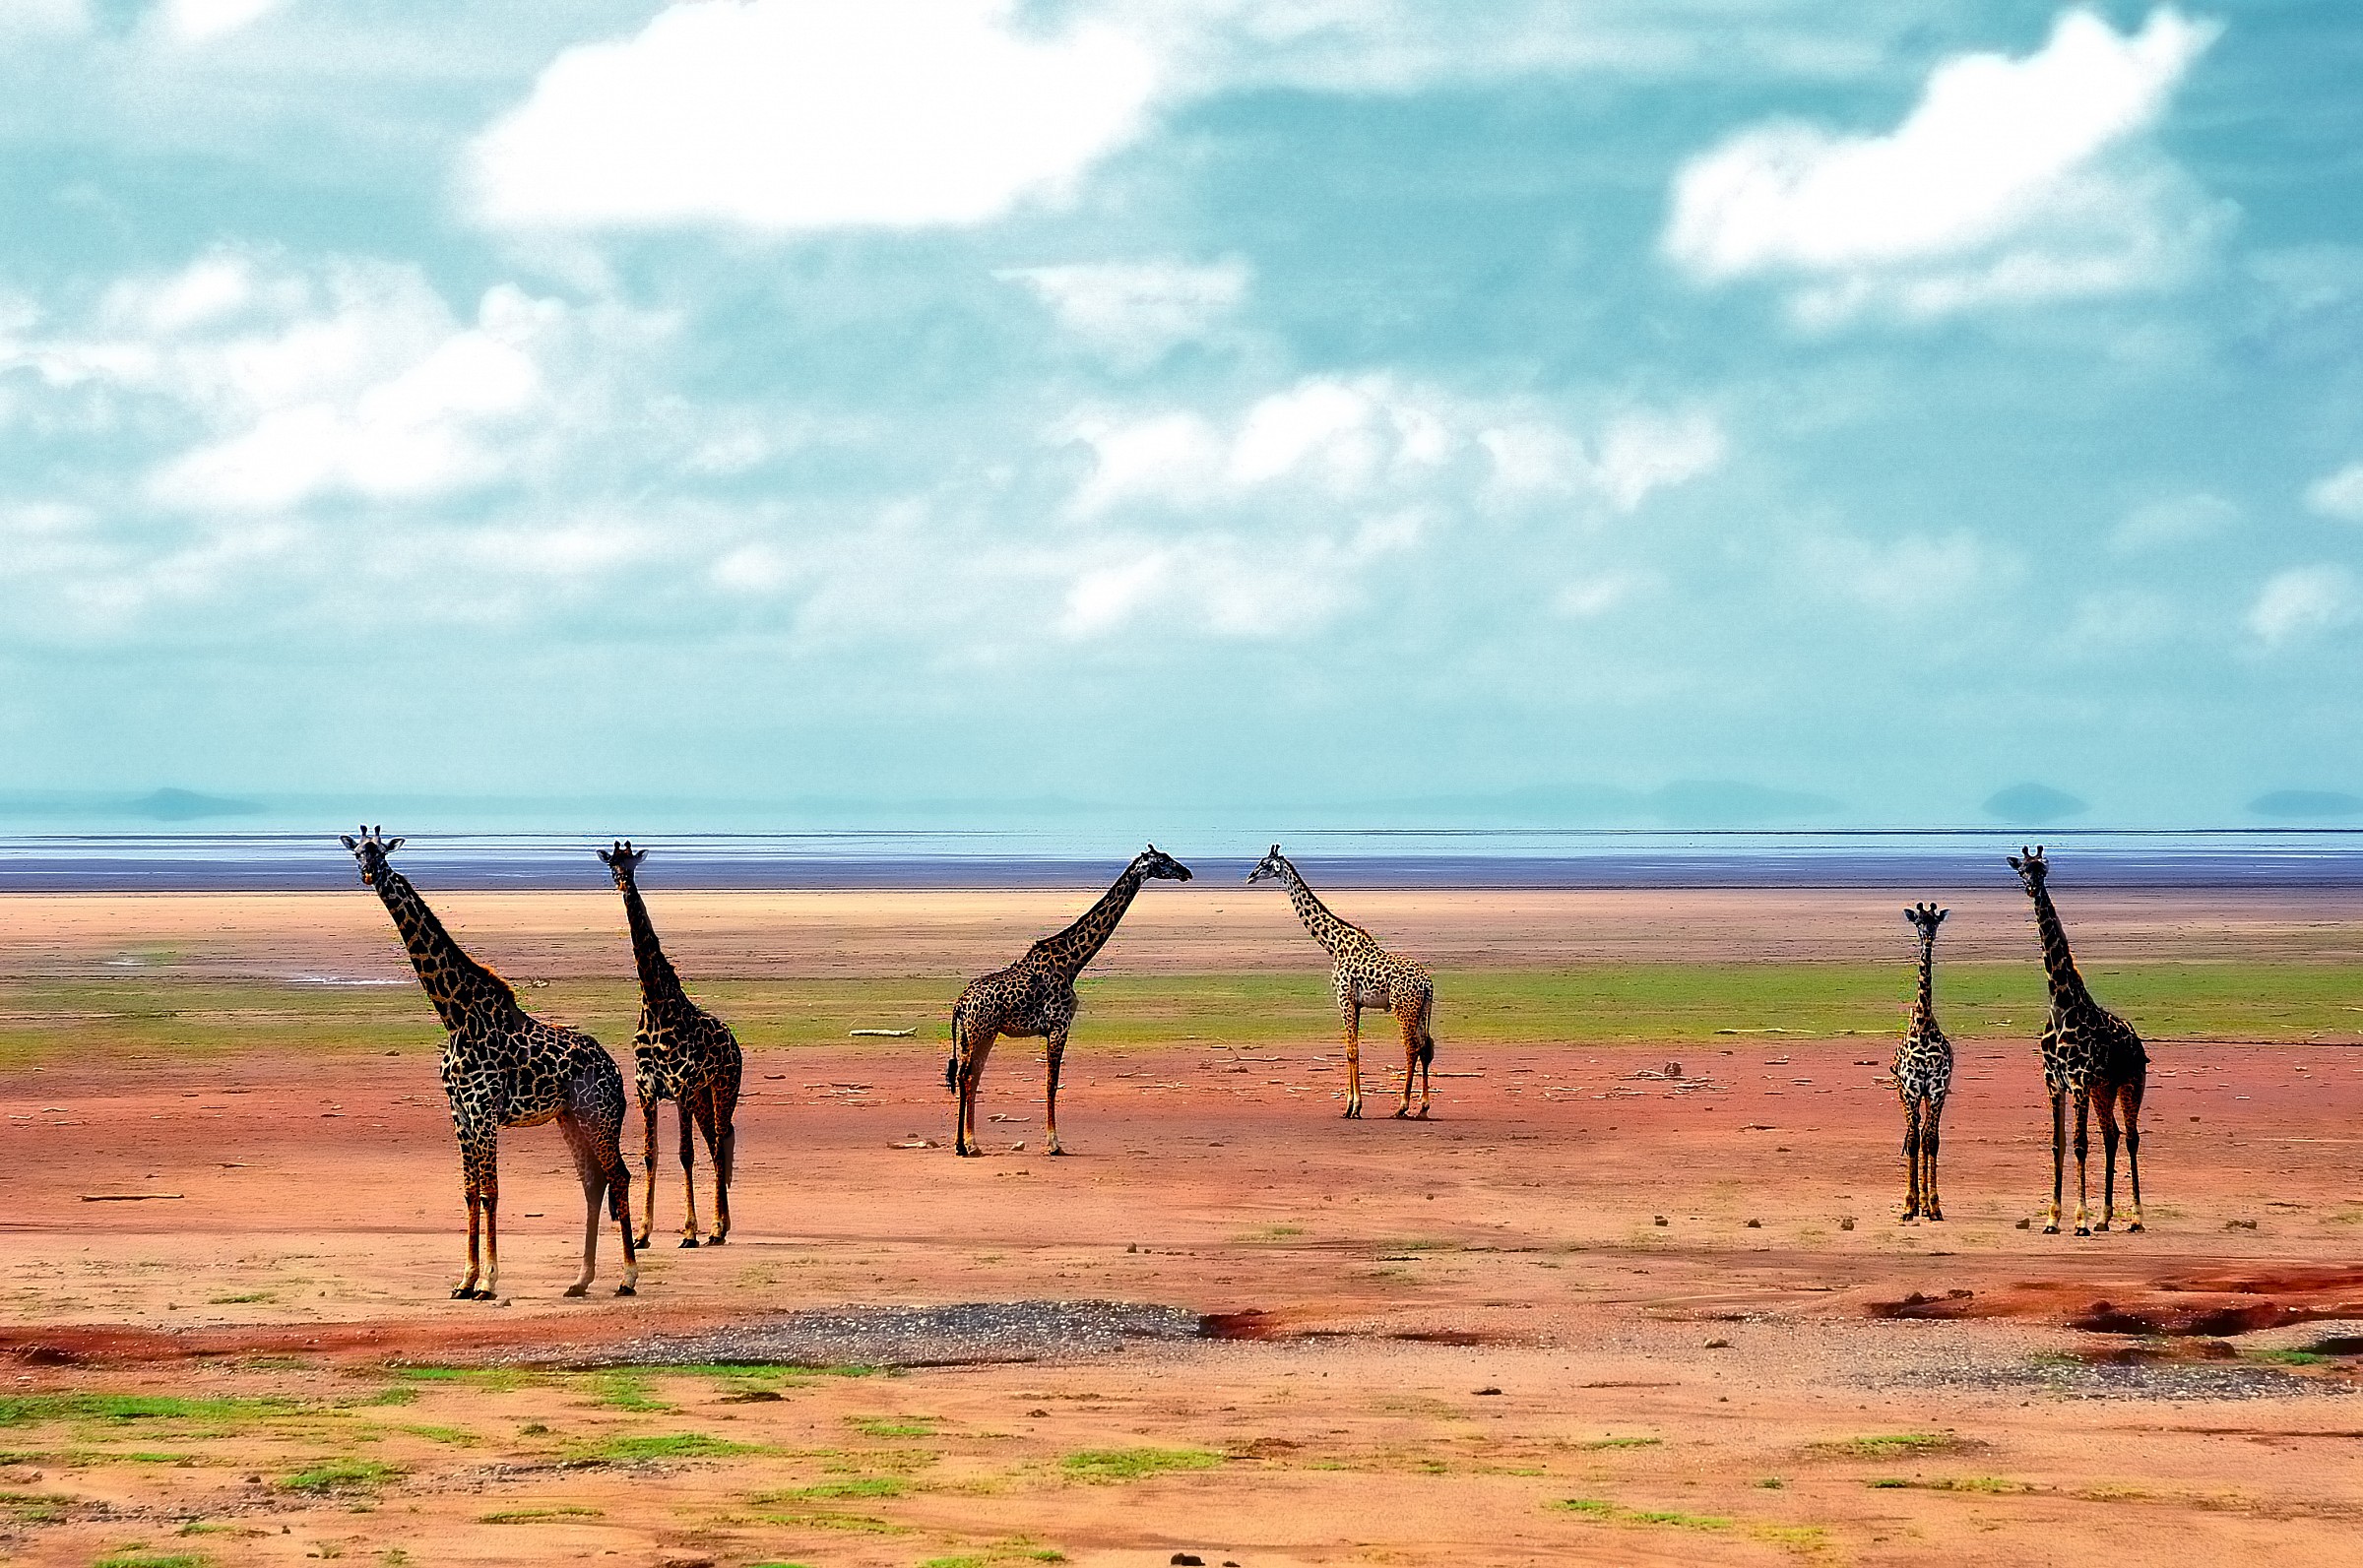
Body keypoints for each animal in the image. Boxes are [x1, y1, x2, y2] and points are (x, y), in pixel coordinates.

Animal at [341, 827, 638, 1299]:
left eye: (382, 853)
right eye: (356, 852)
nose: (369, 873)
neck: (455, 1016)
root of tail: (615, 1071)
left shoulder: (483, 1111)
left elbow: (490, 1191)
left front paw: (488, 1281)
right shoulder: (459, 1112)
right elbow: (469, 1191)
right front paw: (464, 1279)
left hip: (600, 1114)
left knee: (619, 1176)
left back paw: (627, 1277)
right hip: (569, 1118)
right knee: (594, 1182)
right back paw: (580, 1279)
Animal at [598, 841, 742, 1250]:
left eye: (632, 862)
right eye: (611, 864)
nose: (622, 884)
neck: (655, 1006)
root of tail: (735, 1042)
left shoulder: (680, 1090)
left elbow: (684, 1153)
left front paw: (690, 1231)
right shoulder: (647, 1091)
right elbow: (651, 1155)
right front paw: (643, 1232)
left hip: (722, 1088)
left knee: (720, 1142)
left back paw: (715, 1228)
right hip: (703, 1098)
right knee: (716, 1144)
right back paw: (721, 1227)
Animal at [946, 846, 1193, 1156]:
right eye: (1163, 860)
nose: (1187, 872)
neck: (1072, 961)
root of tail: (960, 1004)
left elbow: (1050, 1083)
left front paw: (1052, 1141)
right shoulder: (1059, 1025)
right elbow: (1051, 1083)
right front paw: (1054, 1143)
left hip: (975, 1034)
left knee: (969, 1077)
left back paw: (968, 1142)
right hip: (981, 1031)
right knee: (967, 1076)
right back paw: (964, 1145)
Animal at [1247, 845, 1436, 1120]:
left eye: (1263, 863)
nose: (1249, 876)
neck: (1334, 946)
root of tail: (1428, 984)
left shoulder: (1344, 999)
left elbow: (1351, 1051)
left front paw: (1354, 1106)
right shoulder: (1356, 1004)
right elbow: (1351, 1049)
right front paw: (1350, 1106)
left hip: (1404, 1008)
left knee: (1411, 1048)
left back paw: (1402, 1106)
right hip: (1423, 1009)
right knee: (1425, 1047)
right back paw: (1423, 1106)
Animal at [2008, 846, 2149, 1236]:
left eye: (2043, 868)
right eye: (2022, 869)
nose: (2032, 889)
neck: (2060, 1005)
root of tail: (2137, 1041)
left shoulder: (2079, 1080)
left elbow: (2080, 1145)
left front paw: (2080, 1220)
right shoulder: (2054, 1081)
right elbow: (2058, 1145)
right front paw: (2053, 1219)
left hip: (2131, 1082)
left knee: (2130, 1137)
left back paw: (2135, 1218)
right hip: (2105, 1088)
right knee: (2112, 1135)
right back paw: (2105, 1218)